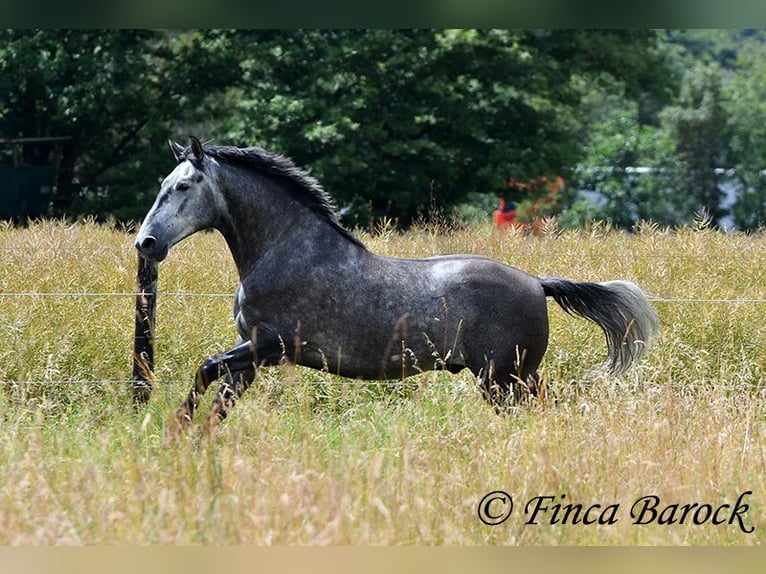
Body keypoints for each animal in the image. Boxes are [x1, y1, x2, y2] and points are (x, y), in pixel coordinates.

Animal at [136, 137, 660, 428]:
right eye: (163, 183)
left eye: (183, 186)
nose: (147, 243)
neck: (283, 250)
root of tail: (537, 283)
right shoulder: (250, 355)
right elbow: (214, 401)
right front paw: (180, 439)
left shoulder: (270, 346)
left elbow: (205, 369)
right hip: (515, 376)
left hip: (502, 378)